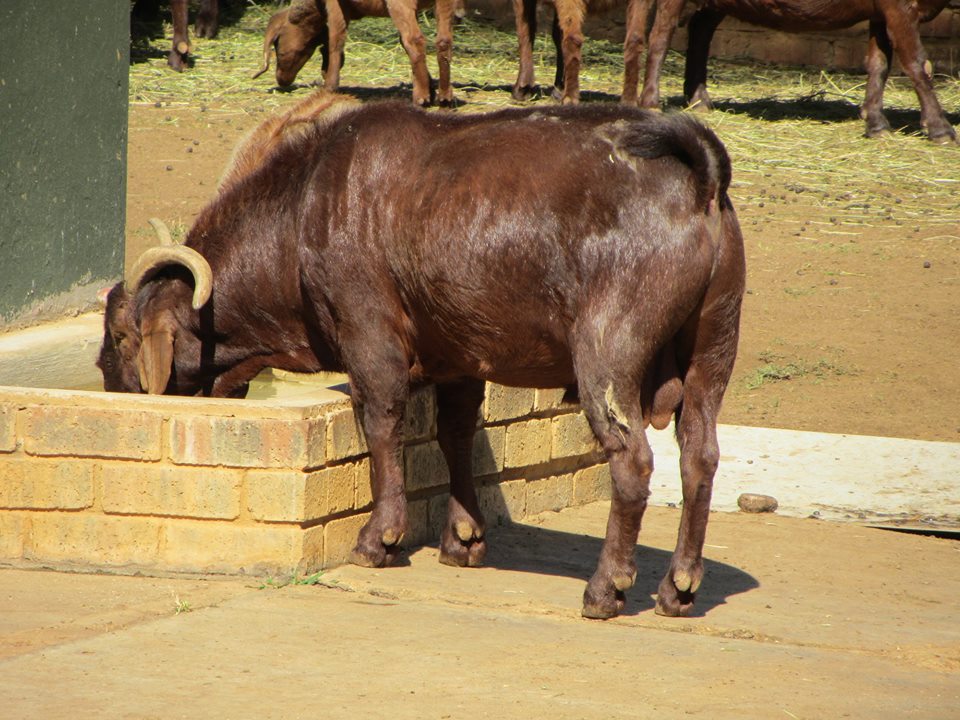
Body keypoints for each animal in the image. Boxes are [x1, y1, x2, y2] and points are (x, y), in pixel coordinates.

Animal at [99, 94, 746, 619]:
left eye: (124, 336)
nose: (110, 381)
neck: (305, 207)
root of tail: (698, 181)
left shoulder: (369, 335)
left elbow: (382, 422)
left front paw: (379, 538)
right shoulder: (459, 357)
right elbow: (454, 432)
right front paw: (463, 537)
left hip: (608, 360)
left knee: (632, 462)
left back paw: (607, 587)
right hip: (712, 354)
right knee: (701, 456)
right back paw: (679, 586)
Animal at [253, 0, 456, 106]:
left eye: (278, 48)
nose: (281, 80)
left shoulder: (334, 4)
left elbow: (336, 40)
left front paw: (329, 86)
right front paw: (430, 86)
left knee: (416, 40)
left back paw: (420, 97)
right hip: (444, 3)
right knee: (443, 42)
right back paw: (444, 96)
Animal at [635, 0, 957, 143]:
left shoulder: (880, 11)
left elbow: (879, 64)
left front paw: (876, 121)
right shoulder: (899, 7)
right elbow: (917, 64)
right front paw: (940, 128)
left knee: (700, 29)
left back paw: (700, 99)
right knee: (661, 36)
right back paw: (650, 102)